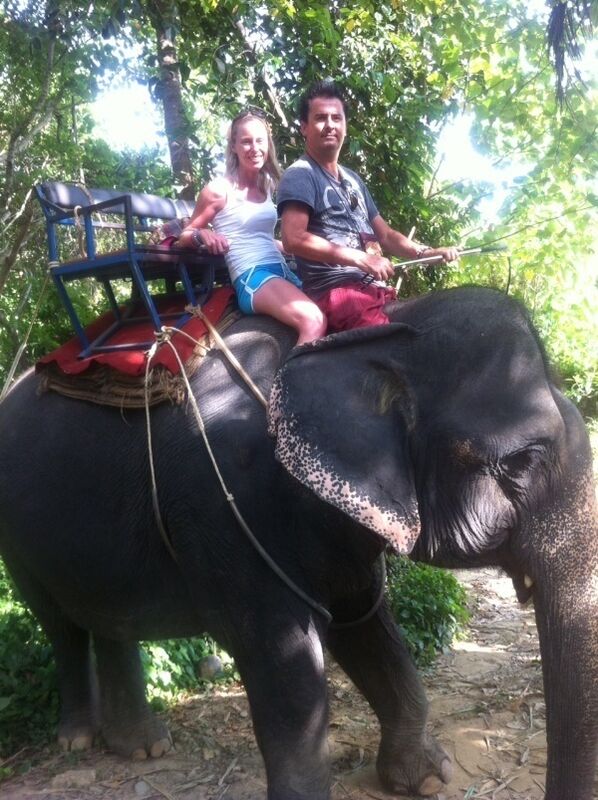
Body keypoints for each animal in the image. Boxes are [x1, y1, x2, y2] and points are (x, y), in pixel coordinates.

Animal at [0, 286, 595, 800]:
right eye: (520, 463)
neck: (376, 334)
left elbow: (367, 628)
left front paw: (424, 779)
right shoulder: (227, 508)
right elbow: (284, 667)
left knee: (109, 618)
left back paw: (142, 748)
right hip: (17, 542)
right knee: (59, 623)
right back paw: (79, 740)